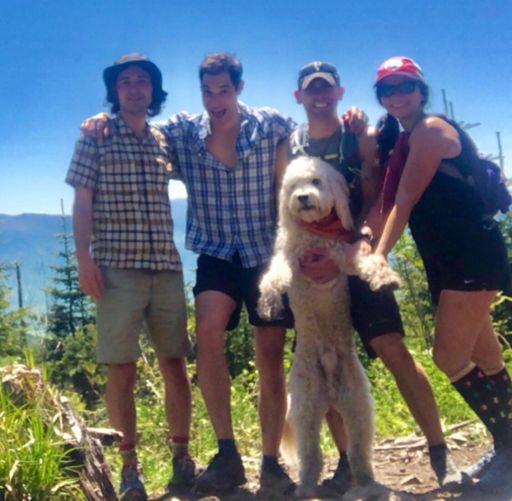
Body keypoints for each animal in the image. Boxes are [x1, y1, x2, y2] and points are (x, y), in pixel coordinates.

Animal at [258, 156, 401, 498]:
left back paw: (364, 481)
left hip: (358, 408)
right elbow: (274, 275)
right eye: (293, 186)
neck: (316, 233)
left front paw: (385, 278)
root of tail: (332, 390)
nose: (302, 198)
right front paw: (268, 302)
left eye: (316, 181)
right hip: (305, 410)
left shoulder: (340, 255)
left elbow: (364, 262)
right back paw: (306, 487)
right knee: (311, 454)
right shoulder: (291, 257)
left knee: (359, 450)